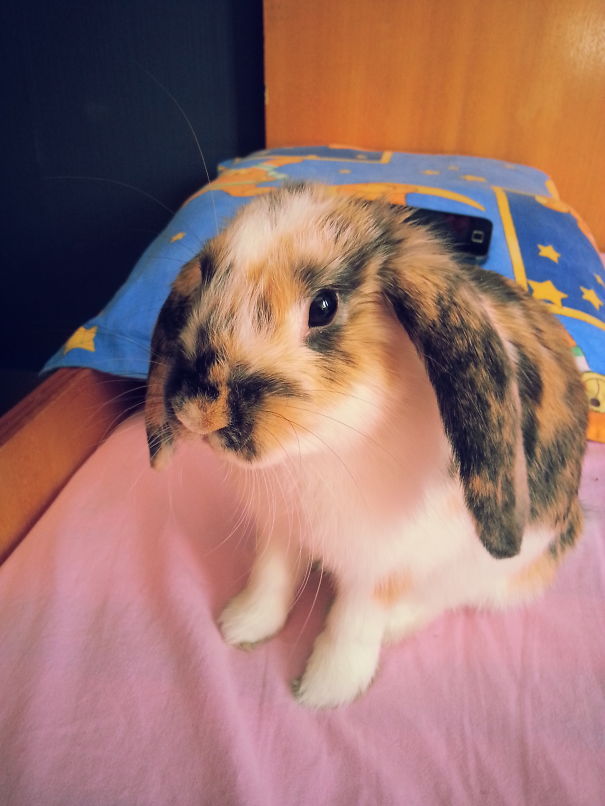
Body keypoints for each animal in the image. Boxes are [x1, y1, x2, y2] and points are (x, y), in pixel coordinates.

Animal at [144, 182, 588, 708]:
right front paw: (241, 627)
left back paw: (396, 626)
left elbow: (350, 625)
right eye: (207, 274)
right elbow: (270, 579)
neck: (318, 448)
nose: (198, 410)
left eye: (324, 307)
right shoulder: (280, 532)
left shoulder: (381, 568)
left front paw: (323, 692)